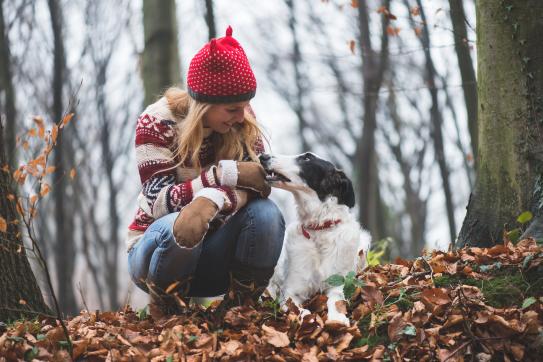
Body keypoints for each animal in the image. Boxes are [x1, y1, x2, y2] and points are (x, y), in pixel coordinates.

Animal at [262, 153, 372, 326]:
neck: (319, 229)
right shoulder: (291, 292)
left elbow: (335, 300)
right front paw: (311, 320)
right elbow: (301, 310)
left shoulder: (338, 283)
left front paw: (337, 318)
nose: (263, 156)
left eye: (307, 158)